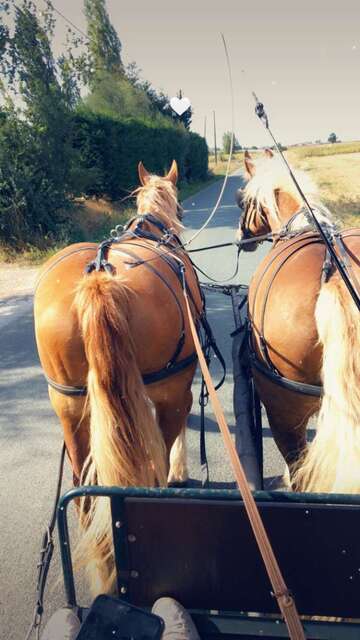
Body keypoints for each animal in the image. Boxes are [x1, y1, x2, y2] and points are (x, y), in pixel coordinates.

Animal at [34, 160, 202, 592]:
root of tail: (99, 278)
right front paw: (180, 470)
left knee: (85, 497)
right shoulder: (178, 387)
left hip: (69, 407)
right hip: (167, 390)